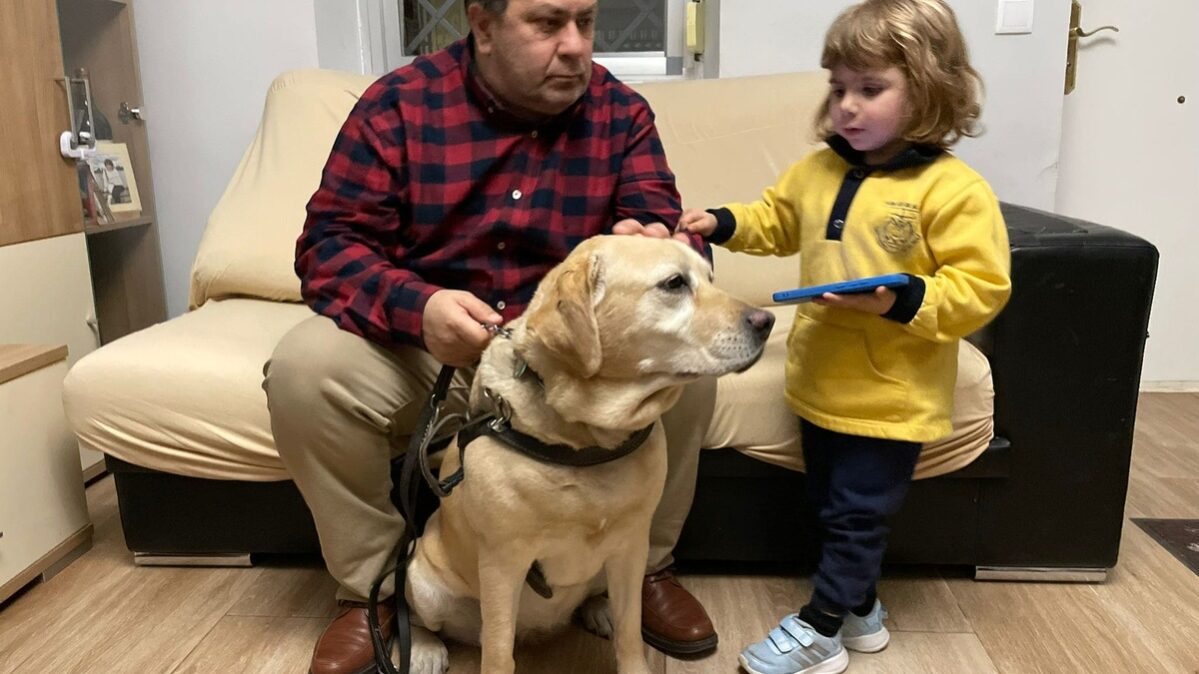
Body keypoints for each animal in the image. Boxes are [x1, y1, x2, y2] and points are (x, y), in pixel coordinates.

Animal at [405, 235, 776, 671]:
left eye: (710, 278)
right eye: (674, 283)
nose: (767, 321)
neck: (588, 441)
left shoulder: (632, 545)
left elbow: (631, 631)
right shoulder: (502, 563)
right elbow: (498, 654)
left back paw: (599, 610)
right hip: (421, 580)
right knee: (415, 616)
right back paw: (424, 648)